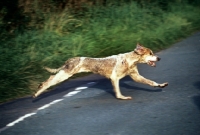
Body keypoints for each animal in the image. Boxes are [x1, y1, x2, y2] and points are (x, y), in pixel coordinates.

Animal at [33, 43, 168, 99]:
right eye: (151, 53)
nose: (159, 58)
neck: (130, 60)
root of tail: (70, 59)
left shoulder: (136, 77)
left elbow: (151, 82)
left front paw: (161, 85)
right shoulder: (114, 78)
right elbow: (118, 91)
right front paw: (122, 97)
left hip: (64, 73)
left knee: (50, 78)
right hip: (65, 74)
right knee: (50, 80)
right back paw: (38, 91)